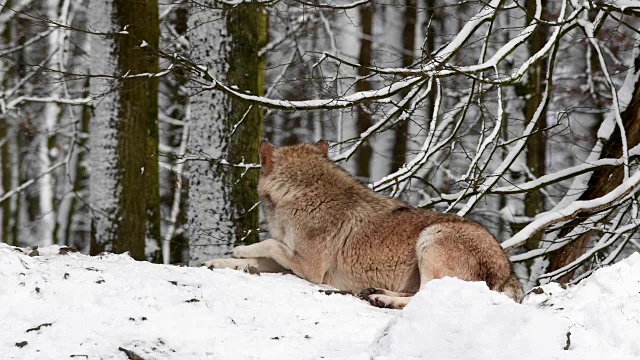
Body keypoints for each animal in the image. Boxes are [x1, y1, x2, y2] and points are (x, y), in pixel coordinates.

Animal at [205, 139, 524, 308]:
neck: (302, 195)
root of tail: (510, 274)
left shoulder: (309, 268)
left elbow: (268, 244)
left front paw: (240, 249)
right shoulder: (291, 259)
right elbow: (257, 259)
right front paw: (220, 262)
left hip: (431, 238)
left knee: (425, 296)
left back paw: (382, 298)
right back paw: (375, 293)